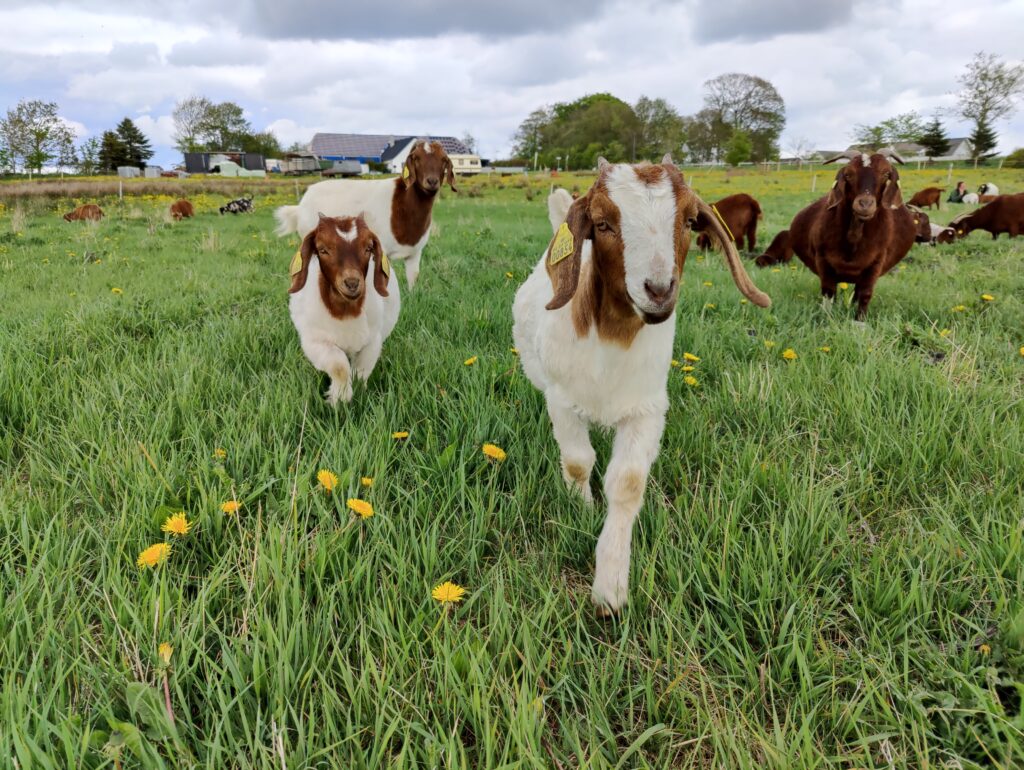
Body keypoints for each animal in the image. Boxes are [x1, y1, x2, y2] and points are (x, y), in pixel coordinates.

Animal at [278, 137, 458, 288]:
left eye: (444, 160)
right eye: (416, 158)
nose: (432, 181)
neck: (403, 206)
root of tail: (301, 204)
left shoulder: (415, 252)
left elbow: (413, 279)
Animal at [290, 210, 401, 403]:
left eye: (368, 248)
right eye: (322, 249)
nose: (352, 283)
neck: (345, 311)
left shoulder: (372, 341)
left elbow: (361, 372)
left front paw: (358, 394)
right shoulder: (315, 342)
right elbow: (339, 366)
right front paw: (339, 398)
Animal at [512, 154, 770, 614]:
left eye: (689, 220)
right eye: (601, 223)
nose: (659, 289)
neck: (612, 340)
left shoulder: (647, 409)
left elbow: (628, 481)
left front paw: (611, 586)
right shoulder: (562, 401)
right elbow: (577, 461)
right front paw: (581, 509)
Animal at [757, 151, 917, 319]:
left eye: (886, 173)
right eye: (848, 174)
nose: (865, 204)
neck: (854, 237)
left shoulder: (876, 263)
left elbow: (865, 294)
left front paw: (860, 320)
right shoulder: (823, 260)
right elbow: (829, 292)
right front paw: (826, 317)